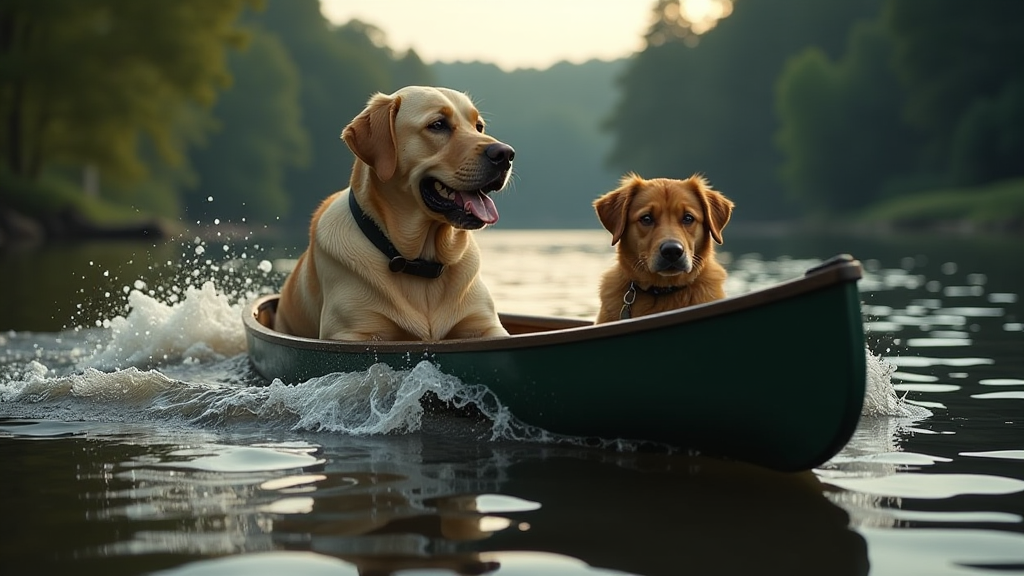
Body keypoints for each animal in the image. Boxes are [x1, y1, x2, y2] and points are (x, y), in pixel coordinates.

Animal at [274, 85, 512, 340]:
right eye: (438, 124)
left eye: (479, 126)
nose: (506, 154)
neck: (420, 264)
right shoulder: (352, 332)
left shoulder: (487, 326)